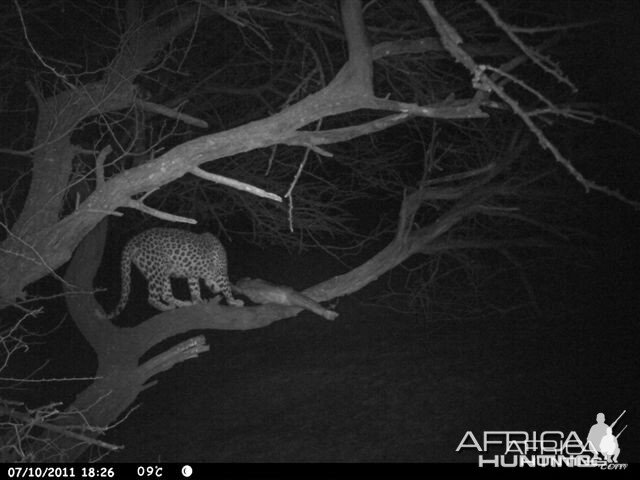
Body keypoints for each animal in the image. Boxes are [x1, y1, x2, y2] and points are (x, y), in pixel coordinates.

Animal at [101, 228, 244, 320]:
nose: (214, 290)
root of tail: (133, 240)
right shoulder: (220, 273)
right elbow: (227, 287)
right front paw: (234, 301)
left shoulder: (192, 274)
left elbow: (194, 288)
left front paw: (197, 300)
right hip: (155, 270)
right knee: (152, 298)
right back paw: (166, 308)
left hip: (162, 272)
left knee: (165, 294)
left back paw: (181, 304)